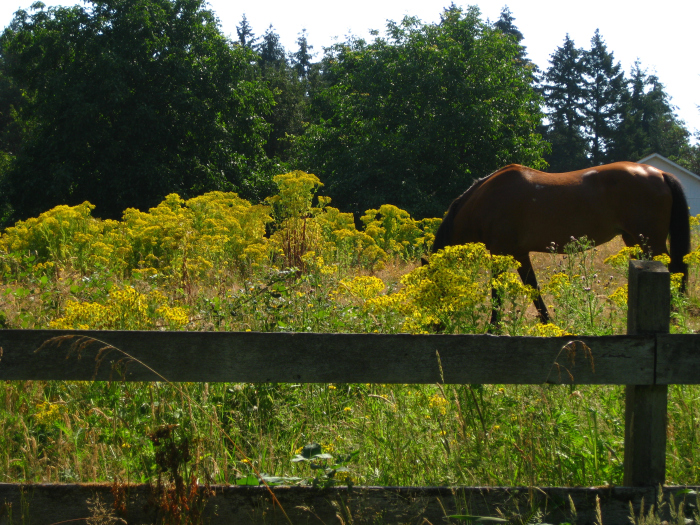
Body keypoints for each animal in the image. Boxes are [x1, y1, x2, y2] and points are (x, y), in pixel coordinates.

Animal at [430, 161, 691, 326]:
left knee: (674, 270)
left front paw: (493, 327)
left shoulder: (500, 253)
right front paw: (547, 322)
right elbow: (533, 288)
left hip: (652, 243)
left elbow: (497, 292)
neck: (486, 200)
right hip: (633, 241)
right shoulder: (520, 254)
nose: (435, 326)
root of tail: (659, 173)